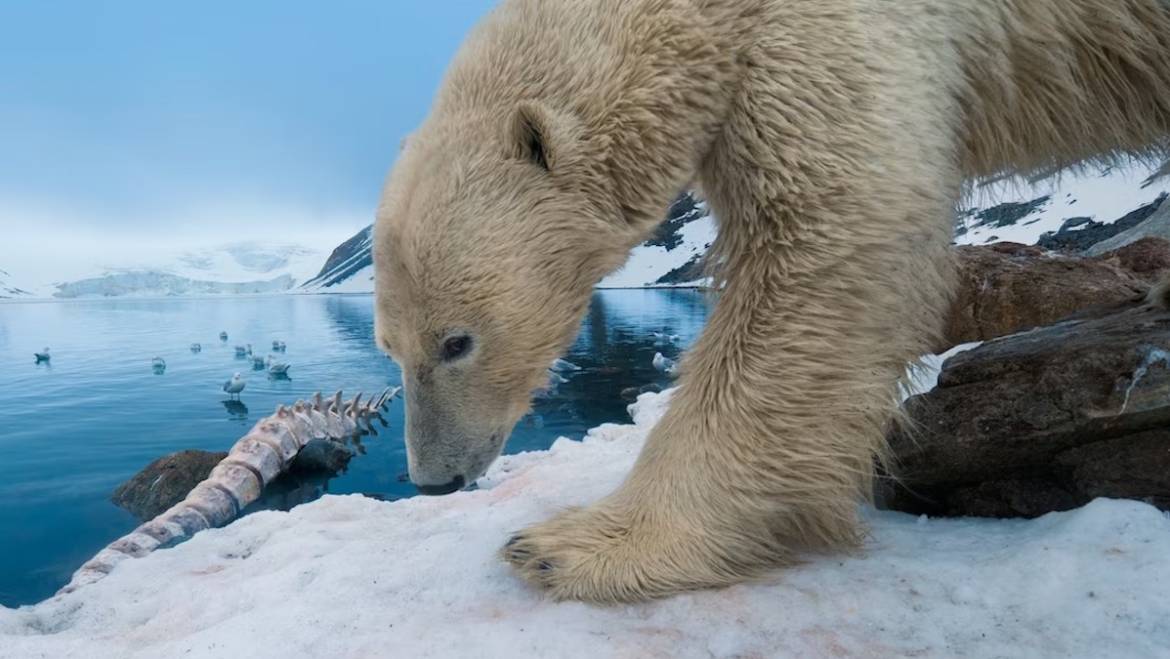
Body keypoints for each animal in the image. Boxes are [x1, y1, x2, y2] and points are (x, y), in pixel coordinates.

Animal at [372, 0, 1170, 603]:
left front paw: (572, 546)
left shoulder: (830, 30)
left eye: (457, 341)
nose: (435, 479)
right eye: (390, 347)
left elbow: (829, 237)